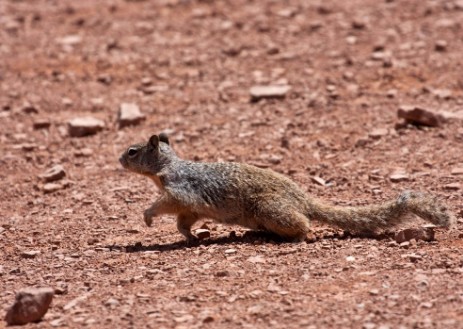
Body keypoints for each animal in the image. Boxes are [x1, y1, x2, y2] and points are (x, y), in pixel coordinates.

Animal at [118, 133, 454, 241]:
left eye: (132, 151)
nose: (119, 159)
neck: (166, 166)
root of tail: (304, 199)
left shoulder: (179, 191)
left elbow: (164, 205)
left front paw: (147, 217)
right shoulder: (189, 207)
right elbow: (183, 222)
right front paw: (192, 237)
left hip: (271, 209)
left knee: (303, 223)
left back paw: (301, 235)